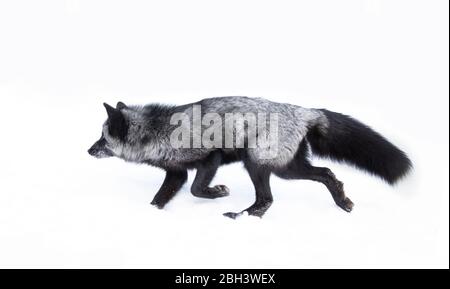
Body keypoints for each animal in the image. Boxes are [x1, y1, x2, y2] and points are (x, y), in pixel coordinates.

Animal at [88, 95, 412, 217]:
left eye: (103, 138)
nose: (88, 150)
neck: (158, 130)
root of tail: (303, 111)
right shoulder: (176, 172)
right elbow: (161, 197)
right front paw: (151, 215)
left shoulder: (210, 159)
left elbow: (197, 189)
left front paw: (218, 192)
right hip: (278, 167)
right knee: (306, 182)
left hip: (264, 166)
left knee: (281, 192)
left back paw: (244, 214)